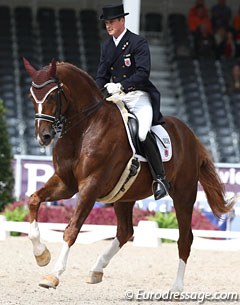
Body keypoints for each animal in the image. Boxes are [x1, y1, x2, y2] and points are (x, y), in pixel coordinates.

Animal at [23, 57, 234, 290]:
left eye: (52, 95)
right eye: (31, 96)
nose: (43, 137)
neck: (84, 128)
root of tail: (191, 135)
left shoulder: (90, 186)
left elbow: (72, 229)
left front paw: (53, 275)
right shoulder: (65, 184)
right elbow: (33, 200)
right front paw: (41, 255)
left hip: (184, 196)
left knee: (185, 239)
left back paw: (176, 288)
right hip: (125, 196)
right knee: (125, 232)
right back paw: (96, 270)